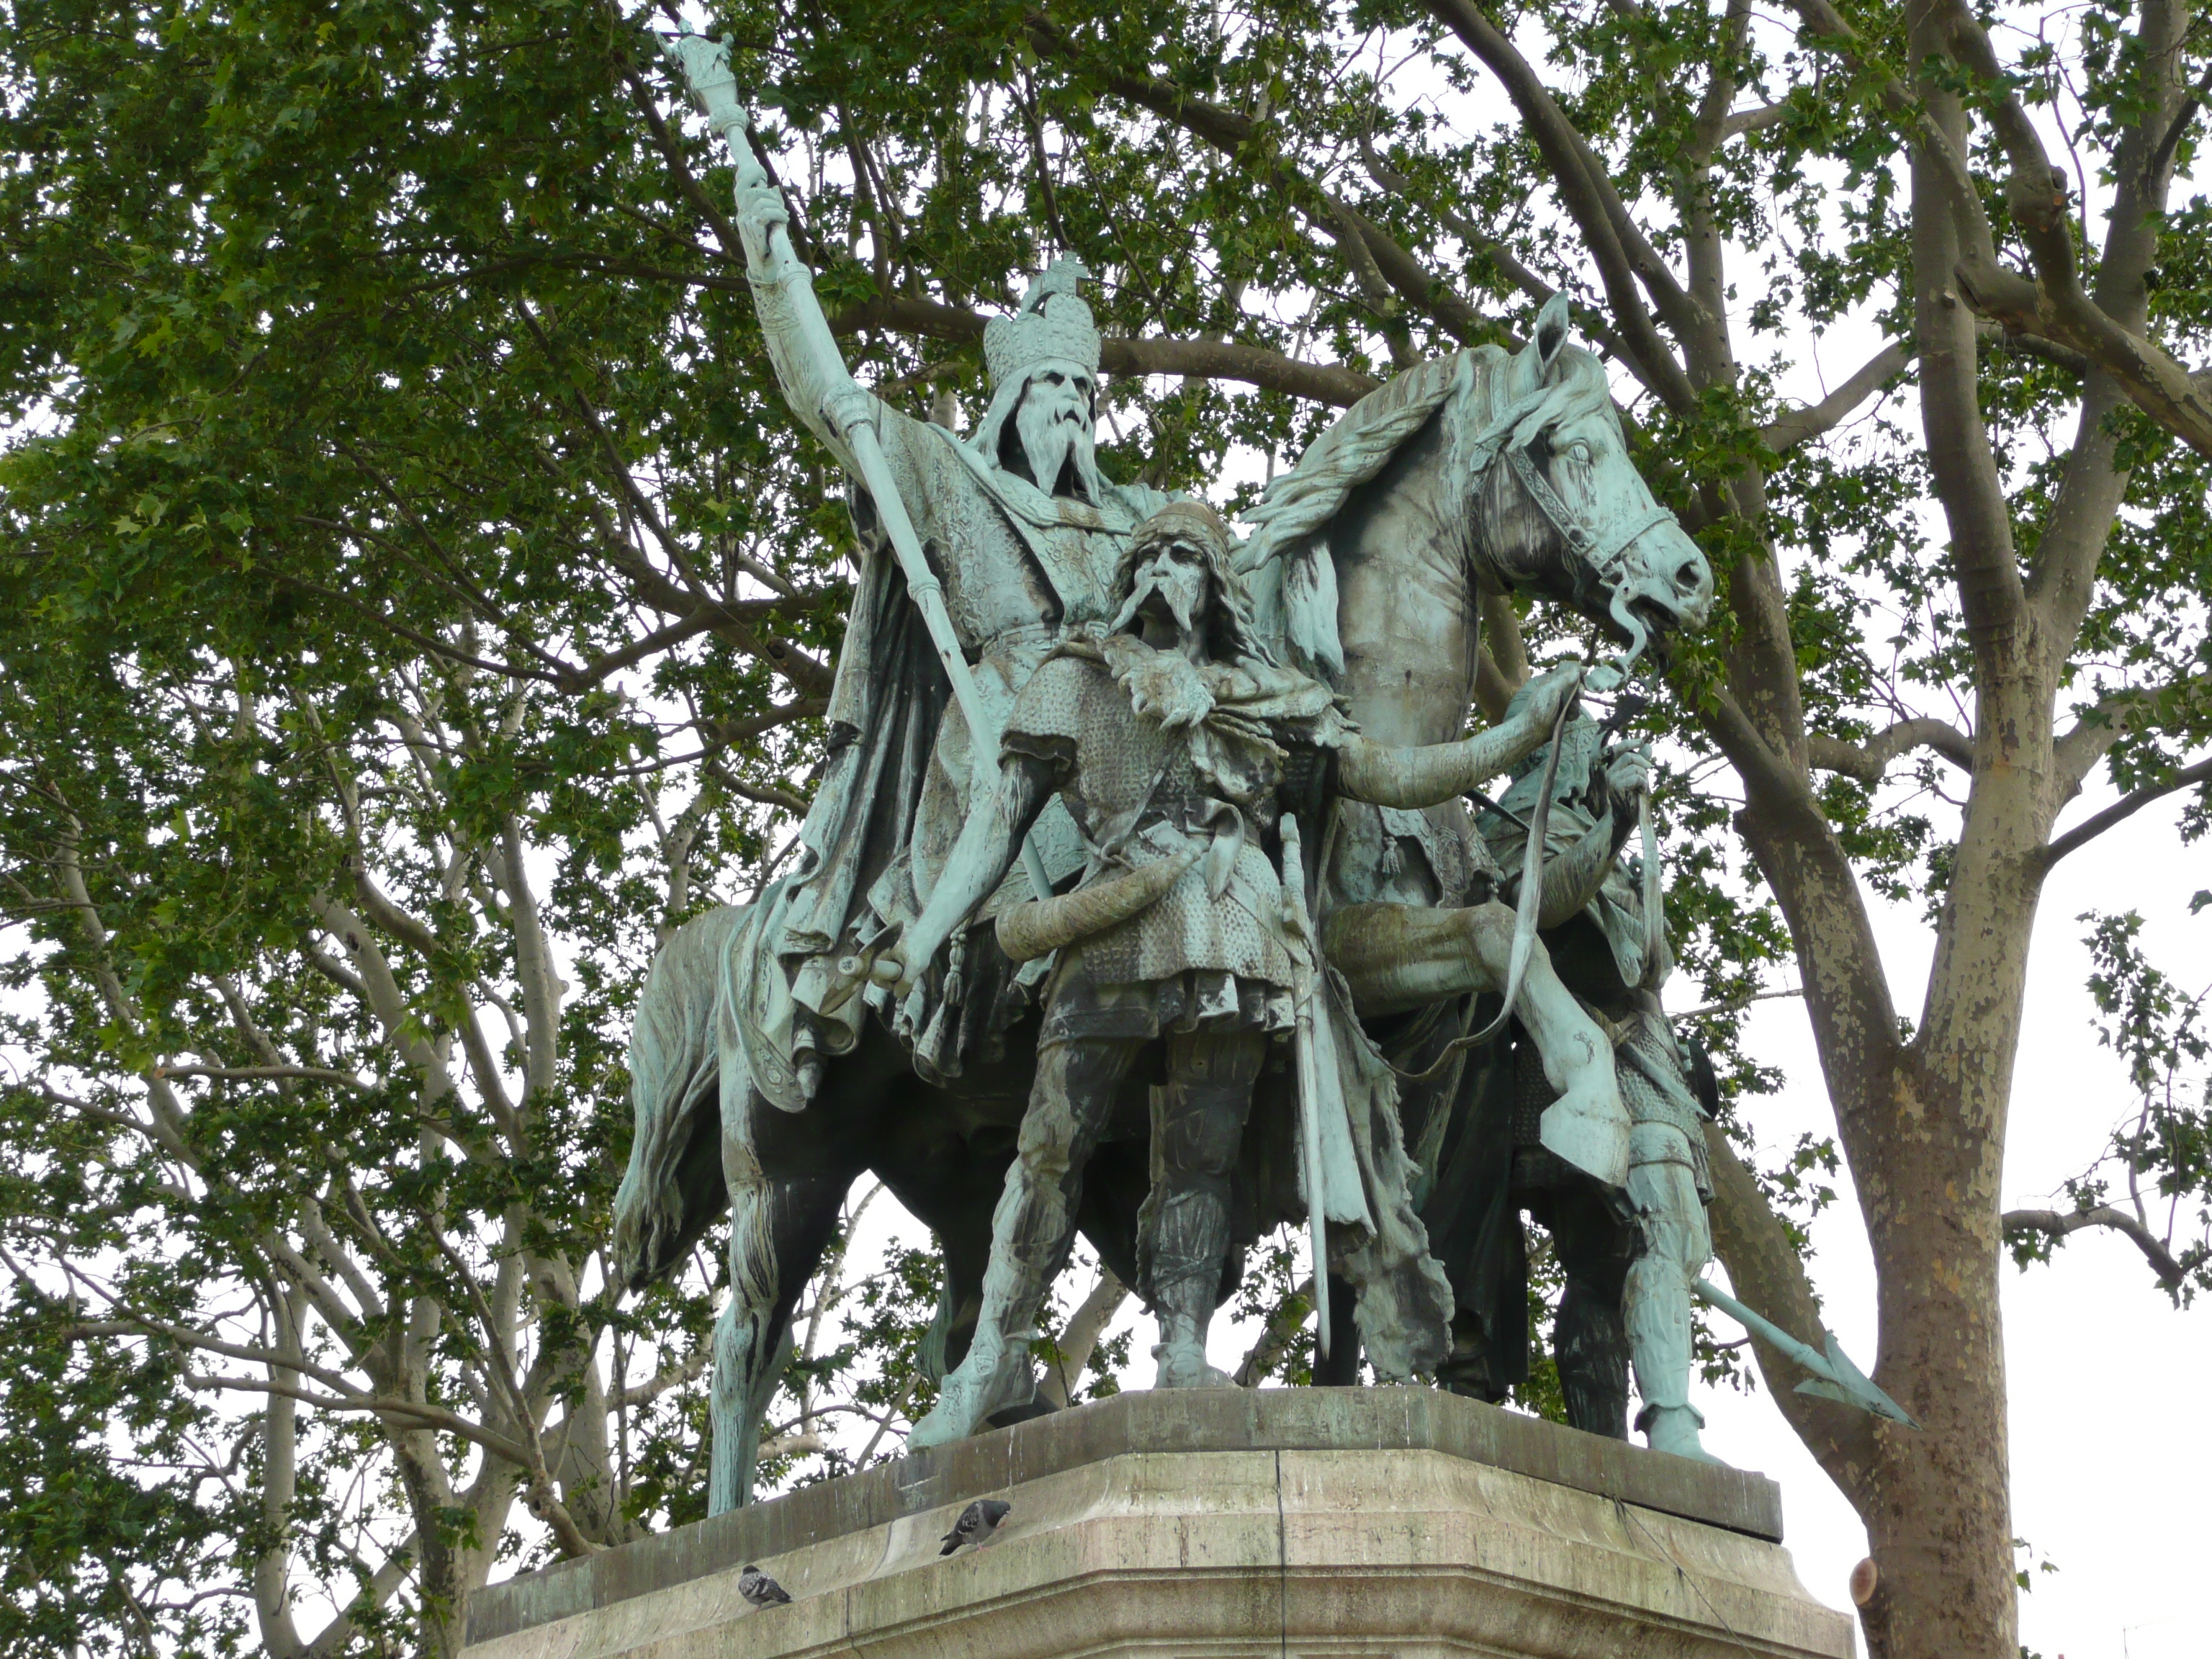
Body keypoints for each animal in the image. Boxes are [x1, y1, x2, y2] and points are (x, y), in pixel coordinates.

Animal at [615, 296, 1716, 1503]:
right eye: (1568, 449)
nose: (1688, 580)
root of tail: (754, 921)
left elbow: (1479, 983)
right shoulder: (1344, 947)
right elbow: (1487, 937)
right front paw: (1590, 1099)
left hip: (952, 1156)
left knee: (970, 1281)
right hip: (791, 1168)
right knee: (744, 1344)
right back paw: (725, 1524)